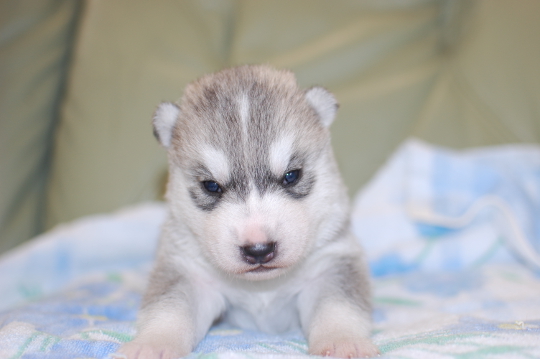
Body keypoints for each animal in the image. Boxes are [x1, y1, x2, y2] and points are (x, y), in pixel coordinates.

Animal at [118, 65, 380, 359]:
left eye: (291, 175)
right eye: (211, 185)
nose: (258, 249)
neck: (262, 287)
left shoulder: (330, 263)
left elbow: (338, 306)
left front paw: (344, 342)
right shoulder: (190, 273)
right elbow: (169, 309)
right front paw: (152, 344)